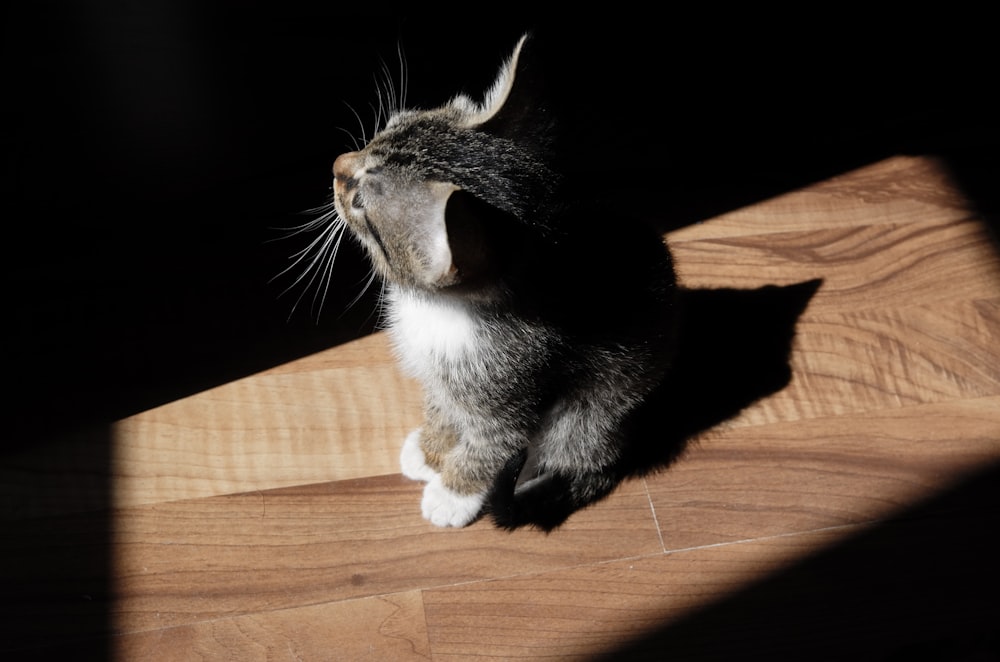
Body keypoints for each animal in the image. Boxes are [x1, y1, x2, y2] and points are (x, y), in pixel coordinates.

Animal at [332, 35, 676, 528]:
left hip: (600, 404)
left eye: (360, 200)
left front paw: (453, 492)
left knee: (579, 446)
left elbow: (492, 444)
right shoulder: (443, 376)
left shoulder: (512, 388)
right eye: (384, 130)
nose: (336, 163)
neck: (437, 310)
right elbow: (441, 405)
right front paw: (431, 450)